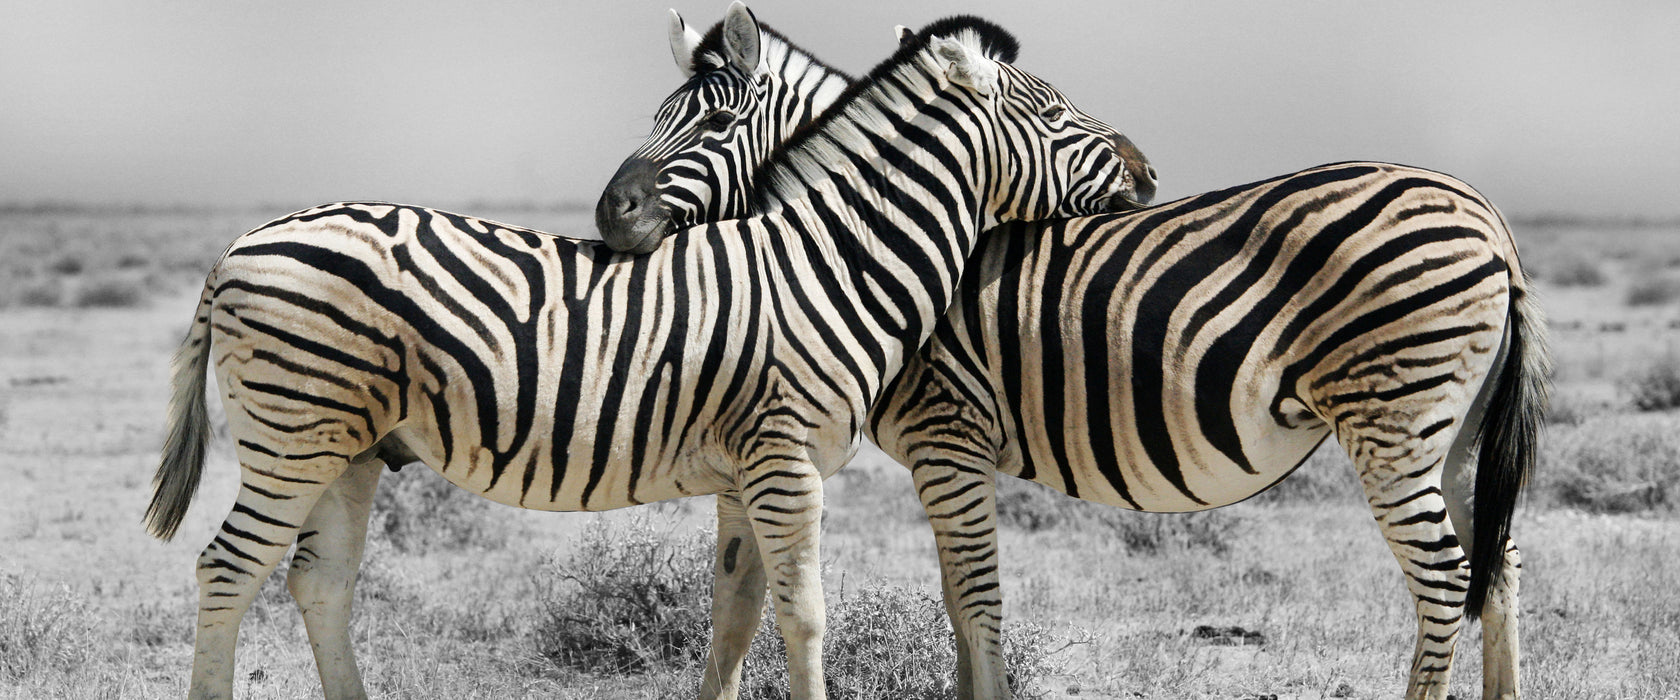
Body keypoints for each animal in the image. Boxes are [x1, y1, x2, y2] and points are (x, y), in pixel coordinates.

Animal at [144, 10, 1149, 698]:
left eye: (713, 125)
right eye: (1054, 112)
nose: (1145, 172)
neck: (831, 259)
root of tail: (237, 247)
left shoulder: (746, 473)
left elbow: (735, 617)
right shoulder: (785, 461)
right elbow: (806, 617)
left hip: (347, 447)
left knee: (318, 582)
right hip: (293, 432)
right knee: (227, 571)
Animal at [608, 23, 1545, 698]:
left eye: (714, 123)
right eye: (655, 114)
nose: (610, 212)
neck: (863, 241)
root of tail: (1491, 220)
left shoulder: (948, 435)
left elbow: (973, 601)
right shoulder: (951, 454)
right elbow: (957, 605)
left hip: (1391, 417)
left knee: (1444, 580)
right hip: (1452, 430)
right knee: (1496, 564)